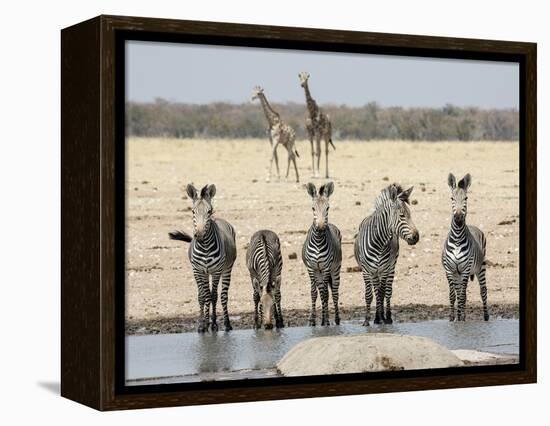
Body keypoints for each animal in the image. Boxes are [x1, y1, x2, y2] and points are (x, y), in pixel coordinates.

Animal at [168, 183, 237, 332]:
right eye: (192, 211)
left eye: (209, 211)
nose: (199, 235)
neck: (204, 247)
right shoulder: (198, 270)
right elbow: (202, 296)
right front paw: (202, 324)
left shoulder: (216, 271)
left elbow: (213, 296)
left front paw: (214, 323)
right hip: (205, 273)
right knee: (205, 294)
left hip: (227, 269)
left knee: (222, 296)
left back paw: (226, 324)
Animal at [304, 182, 342, 326]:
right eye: (313, 208)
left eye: (328, 208)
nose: (320, 227)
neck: (318, 241)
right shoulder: (311, 267)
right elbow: (314, 293)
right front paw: (313, 320)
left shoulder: (326, 267)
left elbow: (326, 294)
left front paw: (325, 321)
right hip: (318, 272)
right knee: (321, 291)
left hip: (335, 269)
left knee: (334, 292)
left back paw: (335, 319)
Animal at [356, 183, 420, 326]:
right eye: (402, 216)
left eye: (411, 215)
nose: (416, 237)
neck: (379, 243)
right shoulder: (368, 270)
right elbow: (370, 295)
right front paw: (368, 320)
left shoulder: (385, 269)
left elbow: (382, 293)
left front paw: (381, 318)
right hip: (373, 272)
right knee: (376, 291)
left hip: (391, 267)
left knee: (387, 291)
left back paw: (387, 317)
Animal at [444, 171, 492, 322]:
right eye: (452, 198)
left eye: (466, 198)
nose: (459, 218)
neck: (457, 239)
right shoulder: (449, 270)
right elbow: (453, 295)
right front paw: (452, 318)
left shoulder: (465, 269)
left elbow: (461, 297)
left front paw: (460, 320)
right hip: (458, 274)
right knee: (461, 292)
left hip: (481, 267)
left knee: (483, 291)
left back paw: (485, 316)